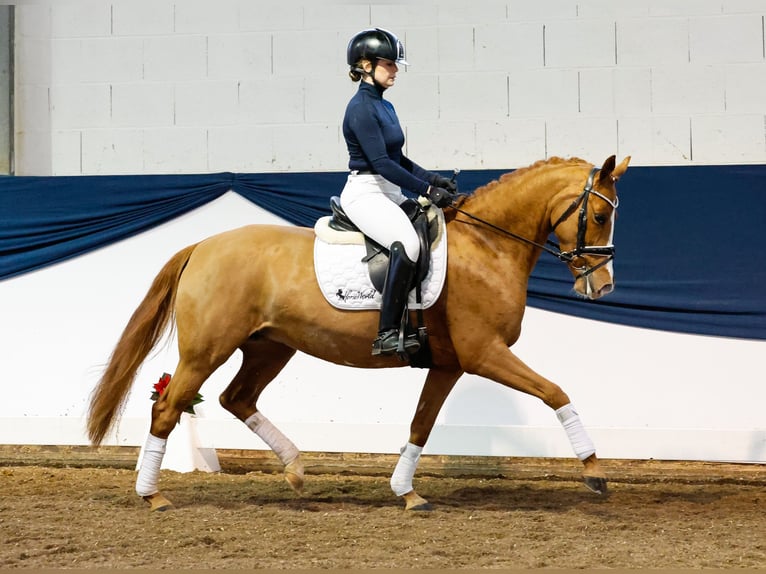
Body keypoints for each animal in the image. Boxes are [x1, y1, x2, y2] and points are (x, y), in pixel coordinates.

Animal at [87, 154, 632, 512]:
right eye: (600, 215)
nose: (602, 285)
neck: (486, 246)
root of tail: (202, 245)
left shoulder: (450, 365)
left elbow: (421, 425)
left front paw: (407, 493)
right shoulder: (484, 354)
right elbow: (556, 392)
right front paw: (595, 473)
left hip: (270, 347)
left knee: (235, 398)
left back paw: (295, 468)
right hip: (207, 350)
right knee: (168, 407)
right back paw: (153, 495)